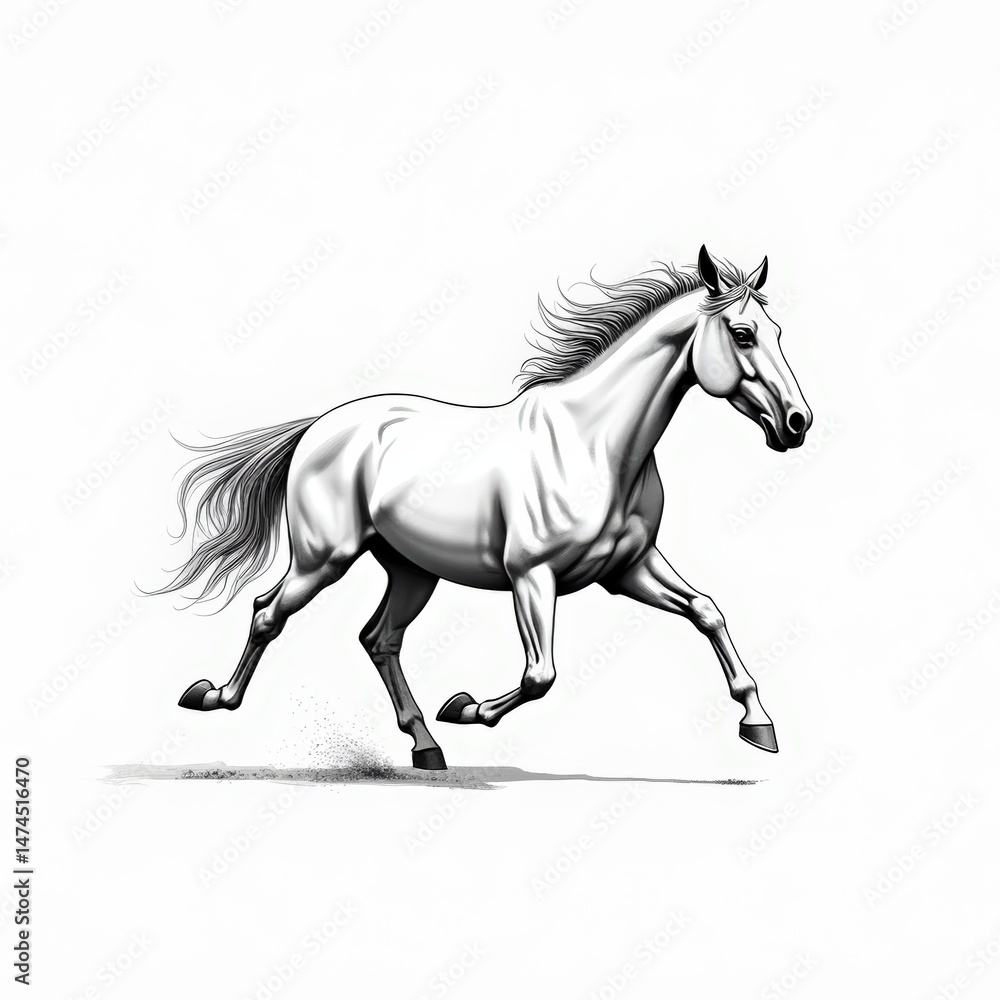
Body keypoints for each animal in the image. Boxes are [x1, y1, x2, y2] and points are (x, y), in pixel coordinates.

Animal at [154, 245, 812, 770]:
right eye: (744, 334)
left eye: (779, 332)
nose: (797, 424)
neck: (594, 443)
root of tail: (320, 426)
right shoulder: (532, 575)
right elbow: (540, 675)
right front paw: (467, 708)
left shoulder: (629, 568)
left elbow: (707, 612)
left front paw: (759, 725)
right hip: (325, 558)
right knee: (268, 612)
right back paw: (213, 697)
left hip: (413, 570)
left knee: (379, 638)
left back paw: (425, 748)